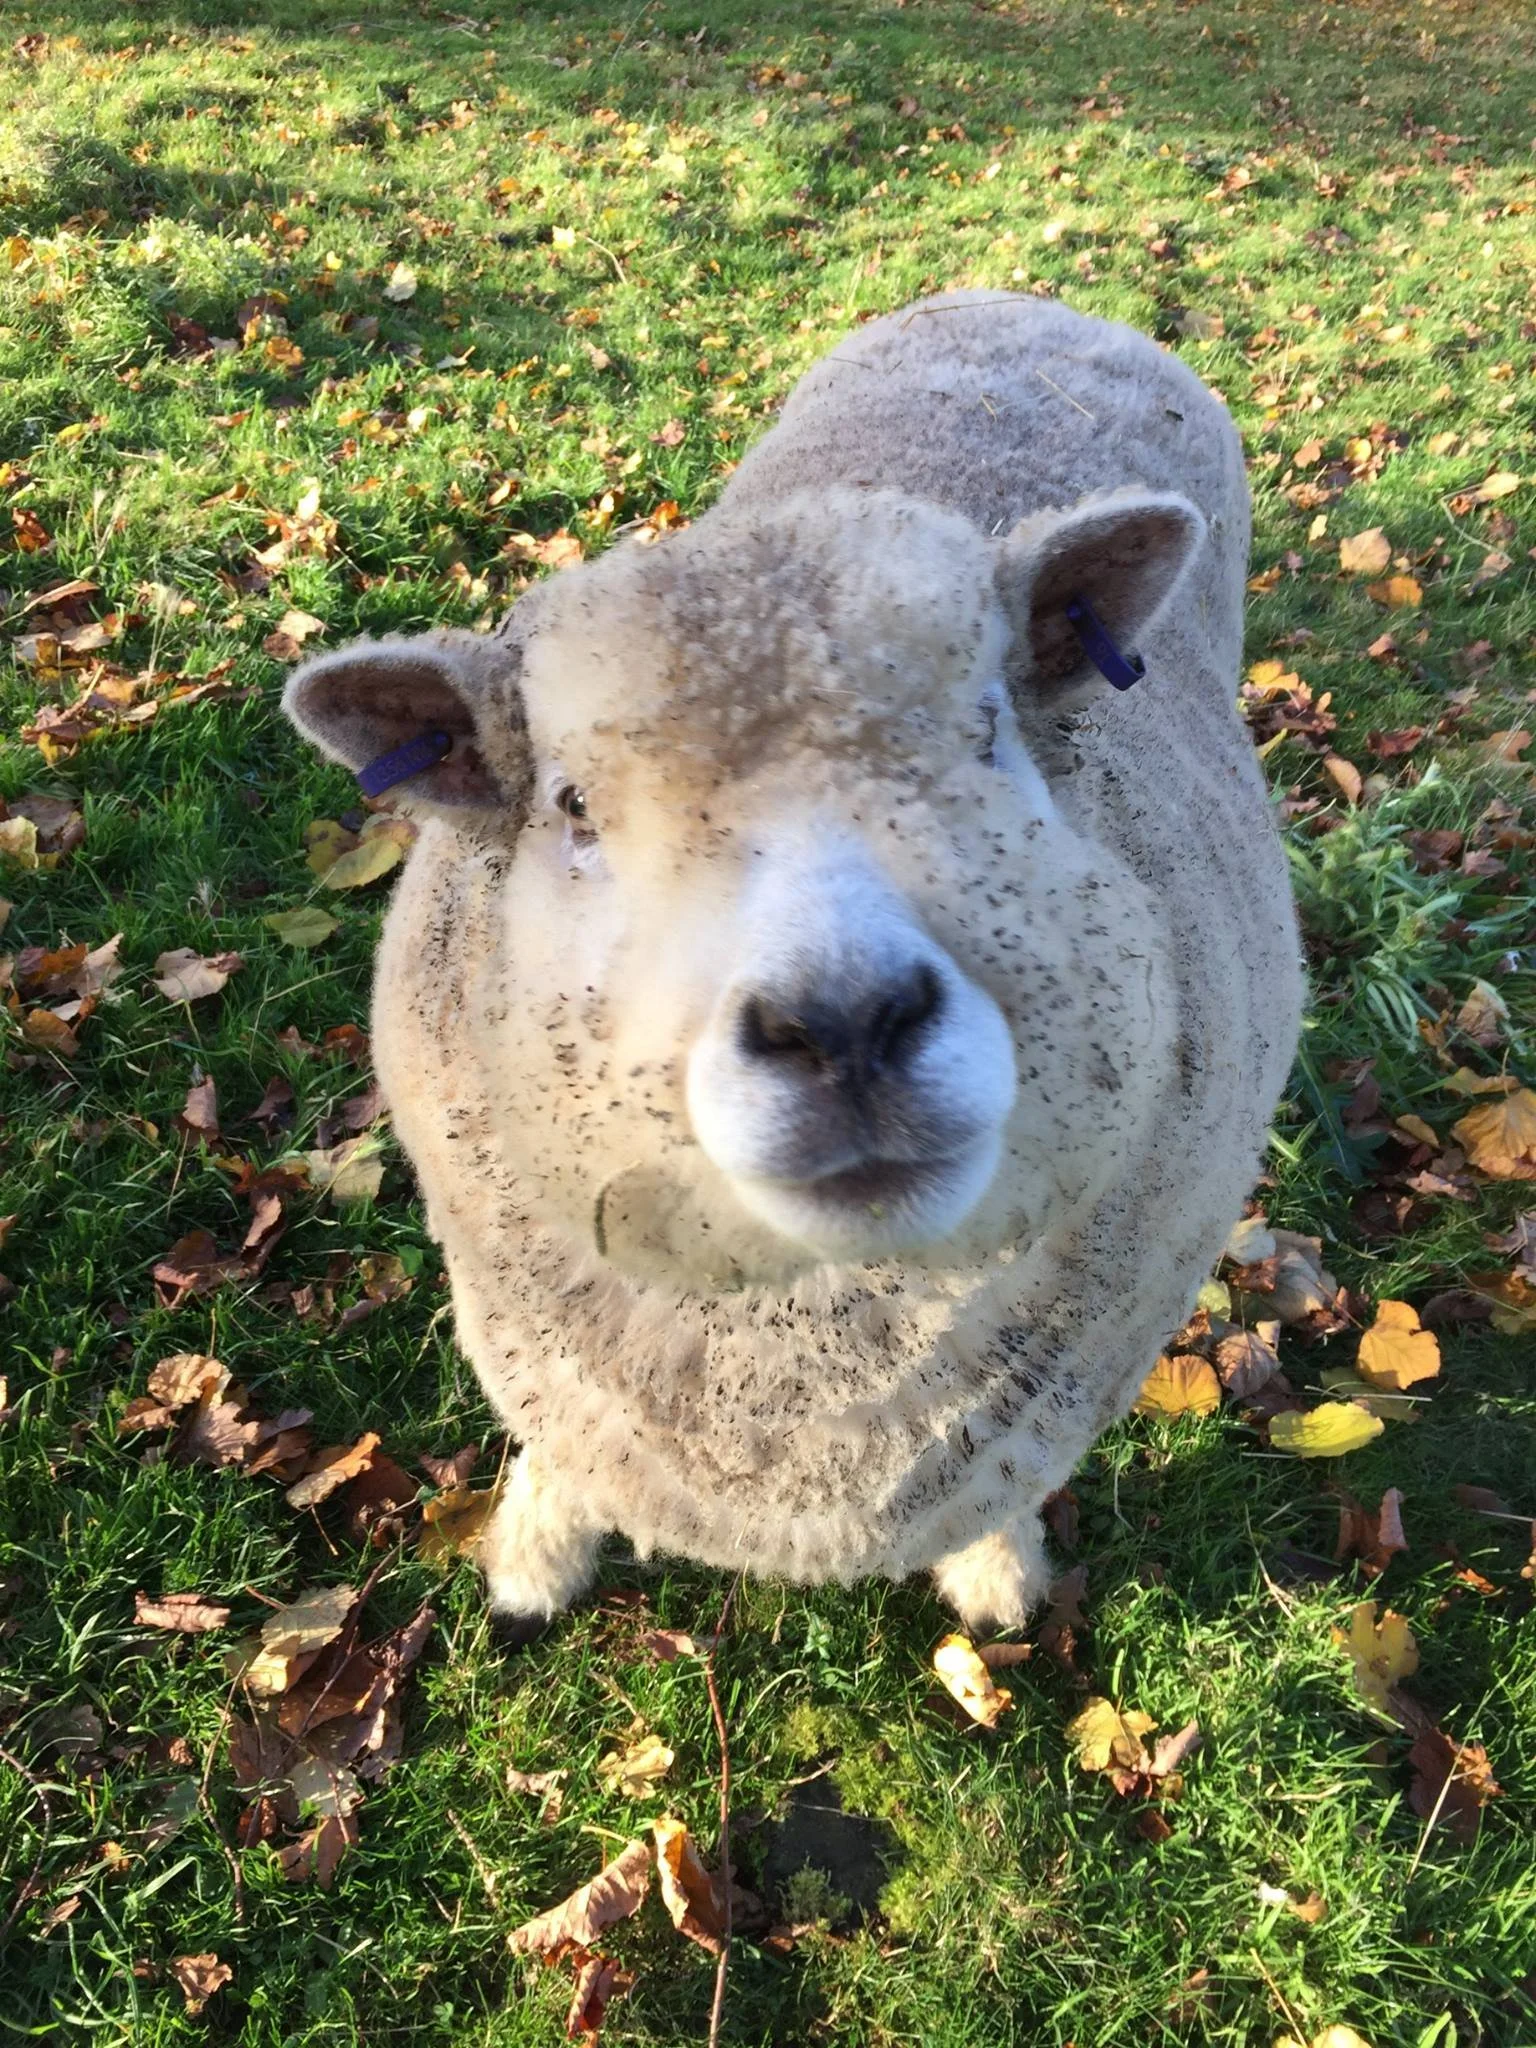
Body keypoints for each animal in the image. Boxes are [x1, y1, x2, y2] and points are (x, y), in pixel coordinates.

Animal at [284, 289, 1303, 1634]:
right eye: (572, 805)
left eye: (990, 731)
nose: (847, 1025)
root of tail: (1021, 293)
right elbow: (560, 1448)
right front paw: (534, 1556)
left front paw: (997, 1579)